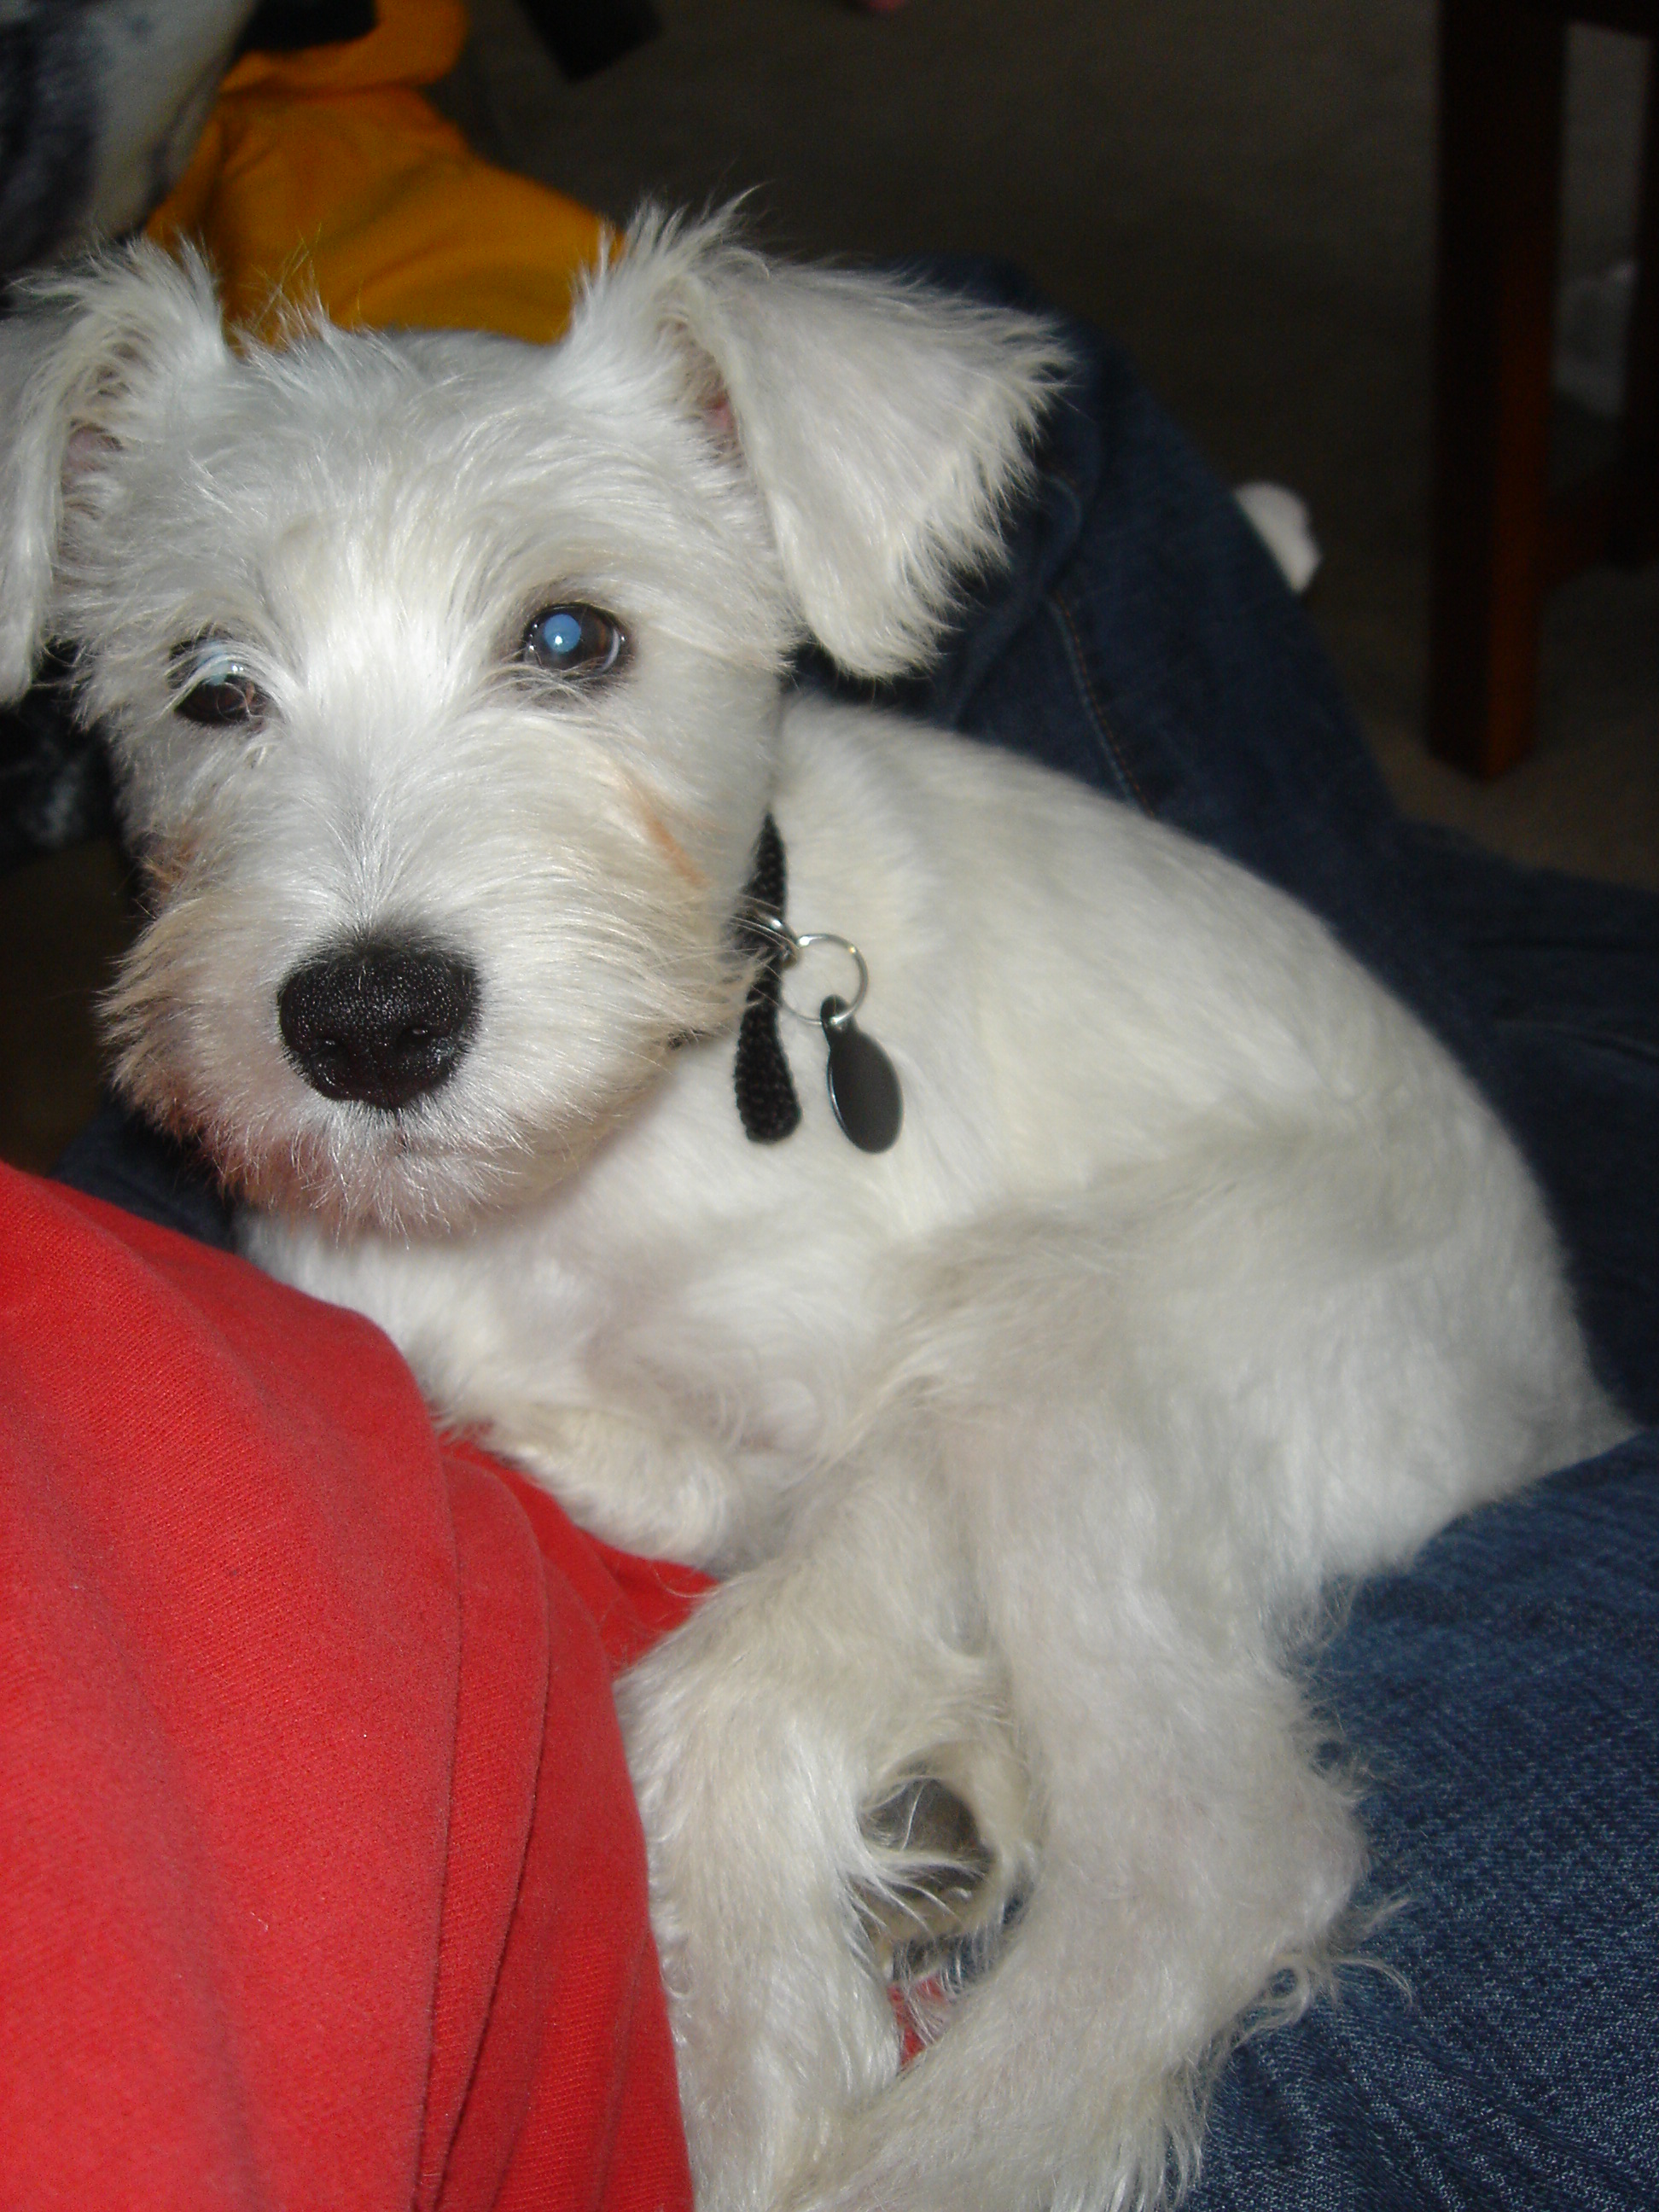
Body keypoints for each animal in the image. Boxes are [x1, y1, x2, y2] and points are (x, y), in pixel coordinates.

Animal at [0, 214, 1626, 2211]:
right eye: (211, 684)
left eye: (574, 638)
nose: (367, 1023)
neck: (581, 1179)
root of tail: (1554, 1395)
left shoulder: (896, 1406)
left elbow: (729, 1680)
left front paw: (753, 2067)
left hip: (1072, 1314)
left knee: (1205, 1841)